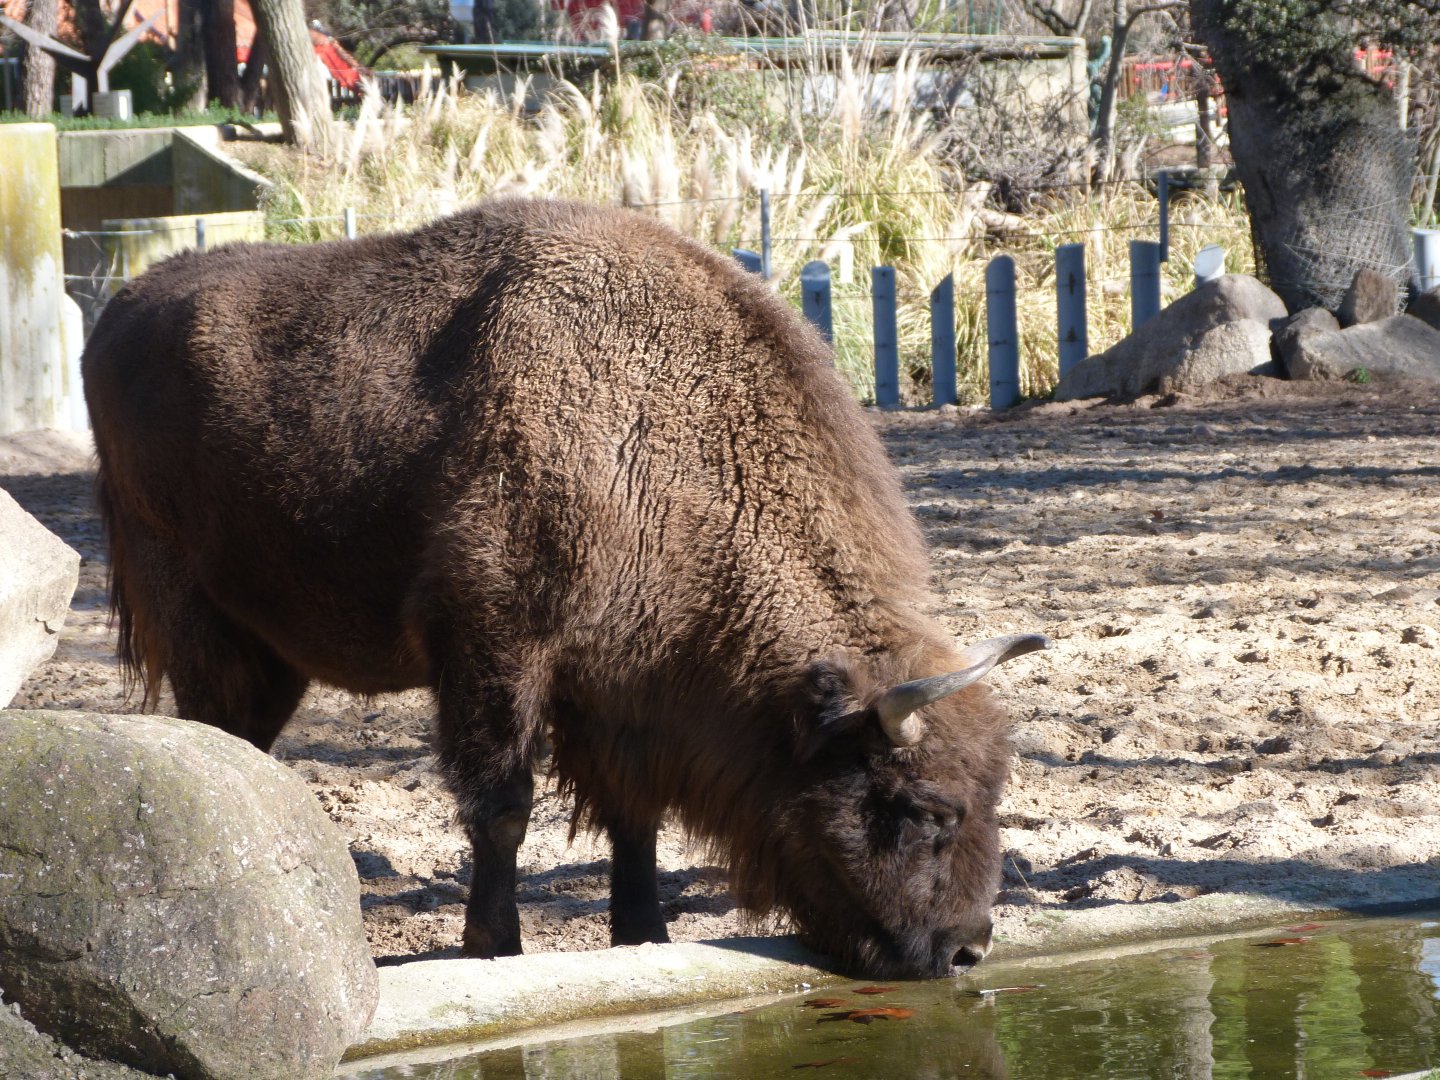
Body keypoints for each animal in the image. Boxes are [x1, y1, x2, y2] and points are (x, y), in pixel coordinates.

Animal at [82, 199, 1049, 978]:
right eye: (924, 808)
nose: (967, 948)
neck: (658, 426)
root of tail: (118, 313)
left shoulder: (619, 687)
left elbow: (634, 816)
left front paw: (644, 937)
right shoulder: (494, 647)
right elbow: (503, 806)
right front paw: (496, 947)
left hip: (275, 651)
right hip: (197, 619)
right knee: (216, 732)